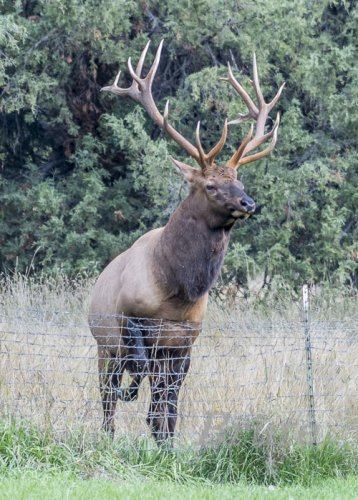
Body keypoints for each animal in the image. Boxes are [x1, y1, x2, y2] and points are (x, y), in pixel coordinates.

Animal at [88, 41, 284, 444]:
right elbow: (142, 381)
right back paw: (108, 435)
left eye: (239, 179)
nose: (248, 203)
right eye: (210, 185)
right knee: (107, 399)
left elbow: (170, 404)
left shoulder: (185, 340)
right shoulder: (133, 321)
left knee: (150, 394)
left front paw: (166, 442)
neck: (179, 291)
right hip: (102, 344)